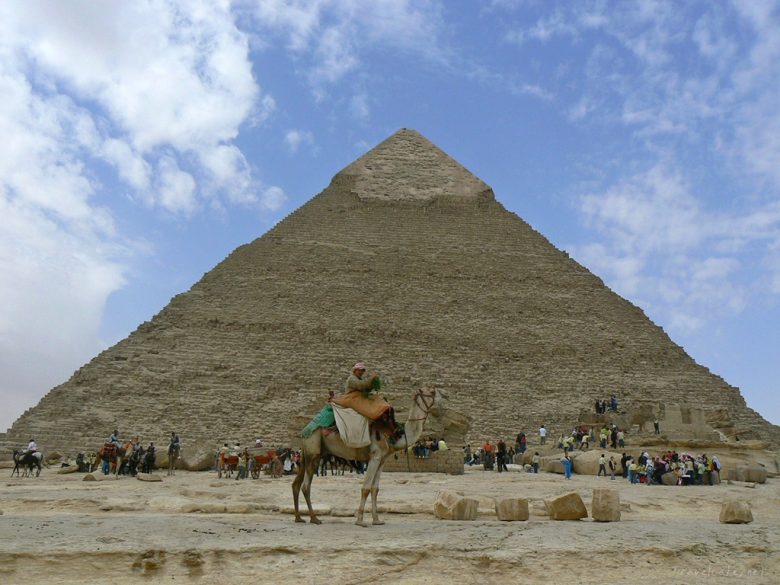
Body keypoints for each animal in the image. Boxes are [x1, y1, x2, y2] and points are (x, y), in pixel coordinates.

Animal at [292, 386, 444, 528]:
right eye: (431, 392)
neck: (394, 435)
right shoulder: (374, 457)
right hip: (313, 450)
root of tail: (304, 431)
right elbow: (365, 488)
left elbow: (375, 489)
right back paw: (314, 518)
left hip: (310, 454)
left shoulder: (382, 460)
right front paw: (360, 520)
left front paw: (377, 520)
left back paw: (299, 518)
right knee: (305, 486)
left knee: (296, 484)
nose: (445, 396)